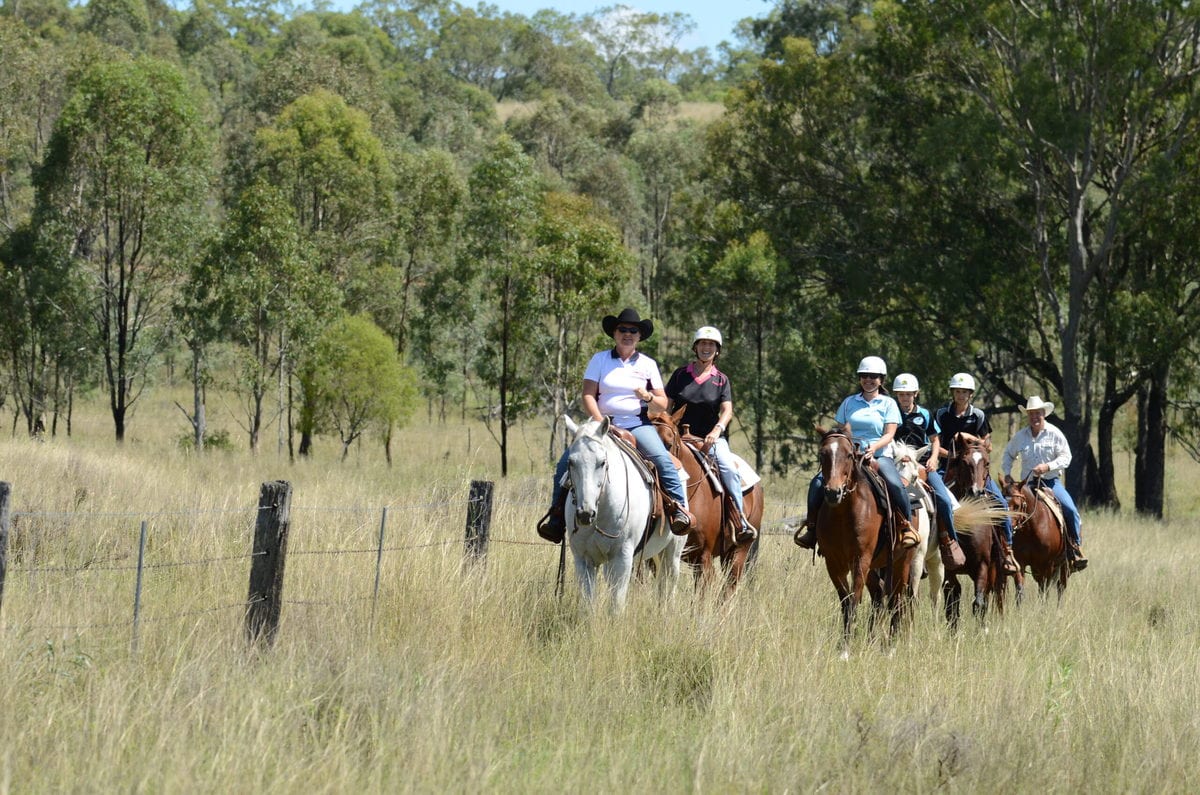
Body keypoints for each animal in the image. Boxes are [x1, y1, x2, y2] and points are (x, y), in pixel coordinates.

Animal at [561, 417, 686, 614]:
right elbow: (588, 604)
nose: (585, 514)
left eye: (602, 462)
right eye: (571, 462)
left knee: (669, 585)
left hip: (673, 551)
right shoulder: (583, 559)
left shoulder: (622, 558)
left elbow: (616, 606)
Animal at [811, 429, 912, 658]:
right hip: (875, 567)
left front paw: (846, 650)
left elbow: (855, 599)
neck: (843, 512)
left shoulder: (860, 560)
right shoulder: (833, 563)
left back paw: (890, 647)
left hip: (902, 562)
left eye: (849, 455)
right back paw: (871, 640)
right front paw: (845, 643)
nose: (833, 492)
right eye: (822, 454)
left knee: (896, 601)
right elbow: (846, 602)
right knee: (878, 596)